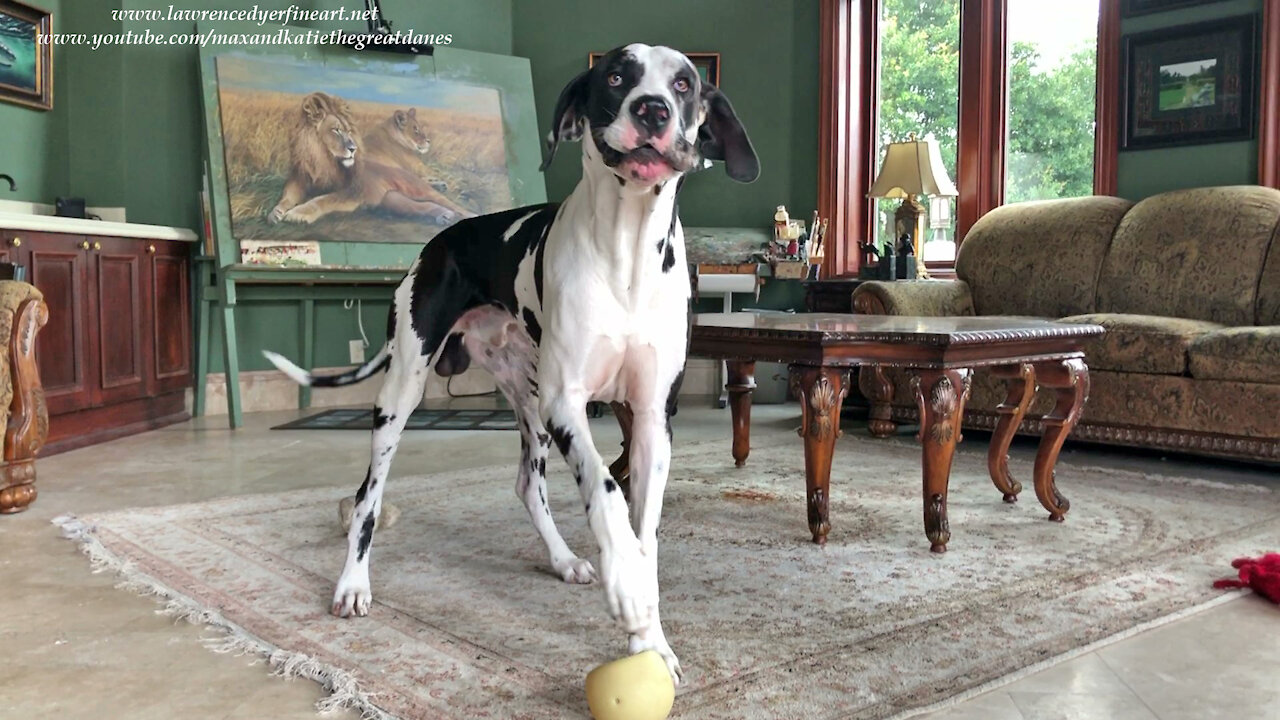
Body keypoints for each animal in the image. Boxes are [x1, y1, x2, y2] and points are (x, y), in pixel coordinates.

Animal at [263, 44, 752, 676]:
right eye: (616, 75)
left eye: (686, 83)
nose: (653, 110)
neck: (627, 252)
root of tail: (439, 241)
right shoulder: (569, 403)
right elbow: (605, 490)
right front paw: (624, 583)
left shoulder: (650, 418)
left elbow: (645, 533)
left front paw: (651, 641)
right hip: (404, 394)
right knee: (367, 498)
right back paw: (352, 584)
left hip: (530, 402)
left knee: (527, 484)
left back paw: (564, 559)